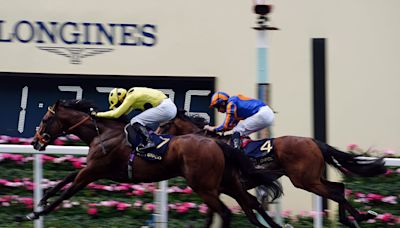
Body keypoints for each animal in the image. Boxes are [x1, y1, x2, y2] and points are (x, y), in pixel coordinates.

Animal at [25, 100, 286, 228]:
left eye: (45, 119)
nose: (35, 142)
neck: (104, 134)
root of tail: (216, 144)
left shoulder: (93, 171)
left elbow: (67, 192)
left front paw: (37, 213)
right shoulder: (94, 170)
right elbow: (65, 180)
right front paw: (41, 199)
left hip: (205, 186)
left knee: (227, 212)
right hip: (226, 182)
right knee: (249, 205)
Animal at [158, 109, 390, 227]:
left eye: (165, 124)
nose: (156, 136)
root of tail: (313, 141)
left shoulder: (225, 187)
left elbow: (248, 209)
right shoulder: (221, 188)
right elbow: (243, 210)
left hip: (305, 180)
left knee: (335, 193)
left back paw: (357, 218)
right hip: (313, 178)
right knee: (338, 188)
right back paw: (354, 219)